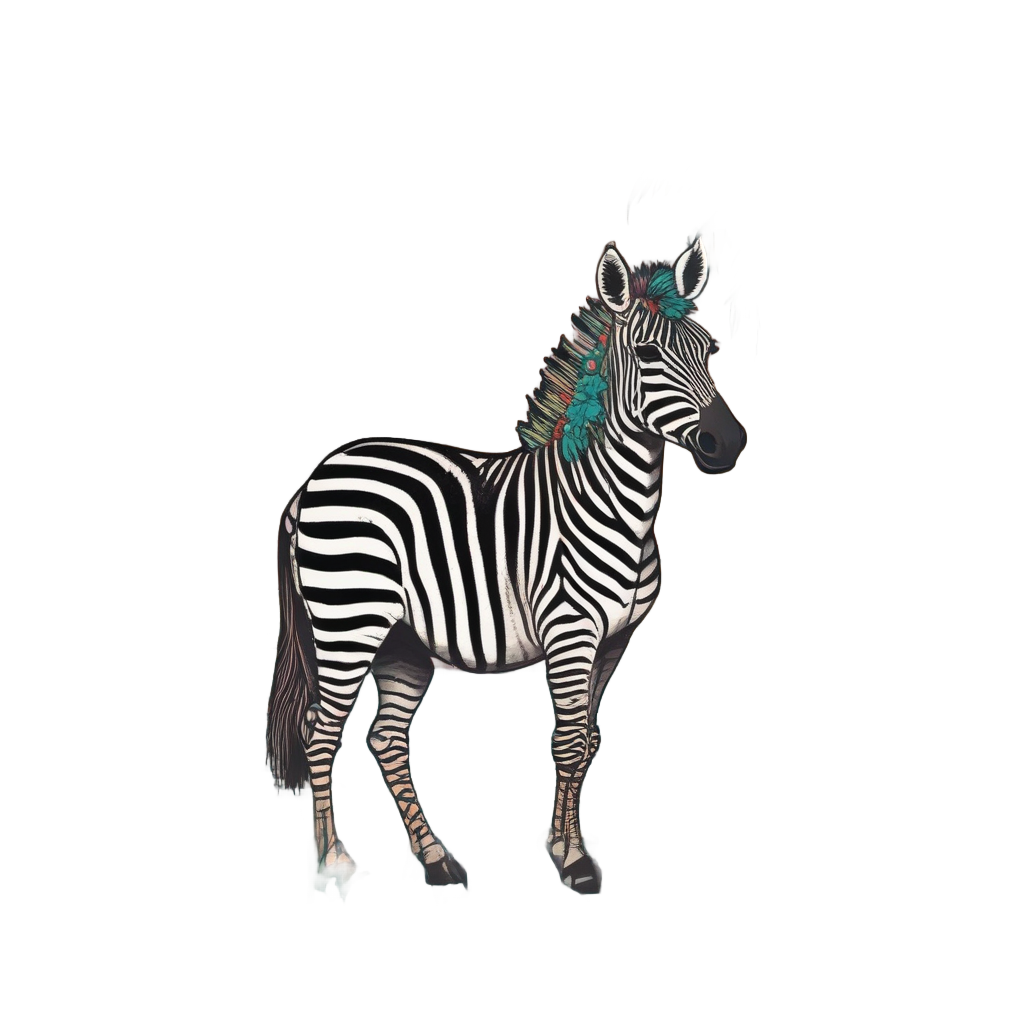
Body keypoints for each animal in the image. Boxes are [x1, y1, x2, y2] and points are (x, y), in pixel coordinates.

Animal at [265, 236, 745, 895]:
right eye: (648, 354)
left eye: (708, 349)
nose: (729, 443)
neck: (612, 501)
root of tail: (318, 476)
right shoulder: (572, 633)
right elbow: (567, 744)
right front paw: (576, 862)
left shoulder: (614, 641)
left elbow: (587, 741)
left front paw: (561, 844)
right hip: (347, 624)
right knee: (321, 734)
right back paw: (331, 864)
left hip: (401, 640)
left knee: (386, 737)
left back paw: (433, 857)